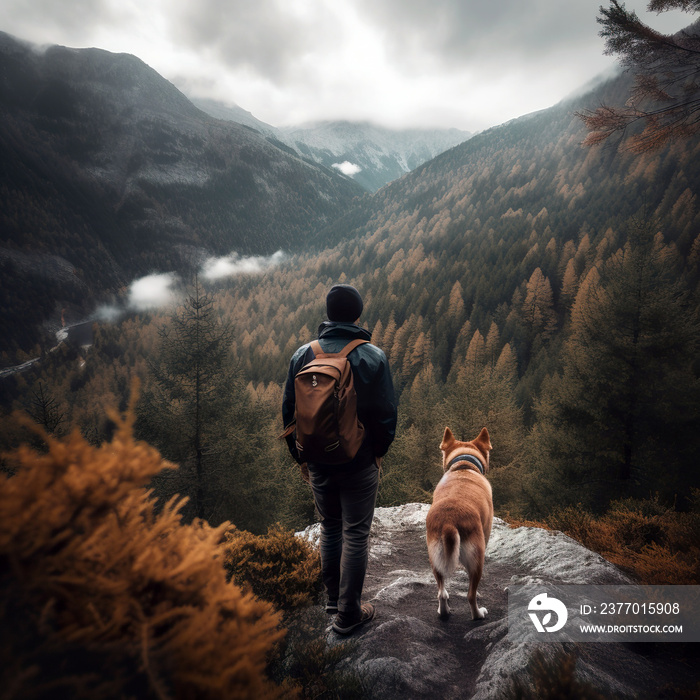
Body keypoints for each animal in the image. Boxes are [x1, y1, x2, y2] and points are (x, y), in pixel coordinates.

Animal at [424, 426, 494, 616]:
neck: (463, 465)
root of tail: (449, 521)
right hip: (476, 558)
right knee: (470, 595)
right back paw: (479, 614)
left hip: (435, 558)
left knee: (441, 592)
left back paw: (444, 611)